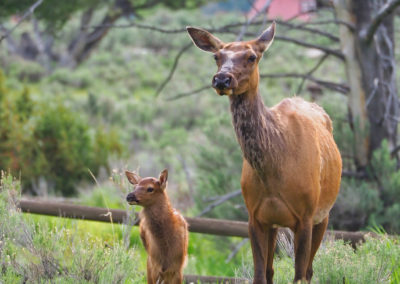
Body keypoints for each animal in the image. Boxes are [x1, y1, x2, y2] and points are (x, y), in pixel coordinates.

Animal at [187, 23, 340, 282]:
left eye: (251, 56)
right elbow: (260, 274)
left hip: (324, 213)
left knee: (309, 270)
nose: (222, 79)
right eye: (217, 56)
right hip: (276, 224)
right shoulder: (256, 217)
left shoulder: (306, 215)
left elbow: (299, 274)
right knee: (271, 270)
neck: (273, 171)